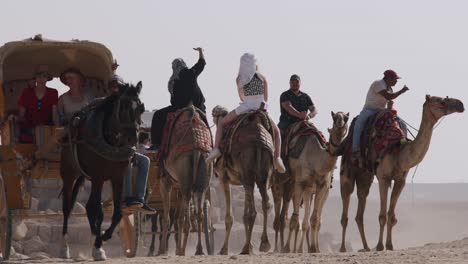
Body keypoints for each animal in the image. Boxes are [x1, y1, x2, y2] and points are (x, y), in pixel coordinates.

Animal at [60, 82, 144, 260]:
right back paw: (65, 247)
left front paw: (103, 237)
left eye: (141, 107)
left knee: (89, 206)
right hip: (69, 174)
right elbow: (98, 211)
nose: (133, 139)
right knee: (67, 208)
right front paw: (99, 244)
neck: (111, 141)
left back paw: (95, 237)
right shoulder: (98, 176)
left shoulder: (118, 177)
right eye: (123, 107)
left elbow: (118, 212)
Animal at [155, 106, 212, 256]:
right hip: (203, 170)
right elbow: (177, 218)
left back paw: (182, 250)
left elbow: (167, 218)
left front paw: (162, 250)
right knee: (198, 213)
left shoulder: (166, 183)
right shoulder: (178, 186)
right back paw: (198, 249)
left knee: (185, 218)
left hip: (183, 175)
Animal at [215, 109, 276, 254]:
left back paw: (247, 248)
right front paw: (250, 246)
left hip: (247, 171)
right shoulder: (243, 180)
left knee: (253, 212)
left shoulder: (224, 178)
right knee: (265, 203)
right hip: (262, 174)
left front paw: (224, 249)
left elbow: (230, 217)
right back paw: (263, 244)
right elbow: (244, 214)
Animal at [280, 112, 350, 254]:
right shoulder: (300, 184)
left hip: (310, 190)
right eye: (334, 117)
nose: (340, 122)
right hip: (289, 183)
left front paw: (314, 248)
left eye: (346, 118)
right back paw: (285, 247)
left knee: (308, 219)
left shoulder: (322, 187)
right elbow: (295, 219)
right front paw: (287, 248)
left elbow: (315, 219)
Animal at [340, 95, 464, 252]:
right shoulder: (383, 178)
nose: (460, 104)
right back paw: (343, 248)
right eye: (441, 101)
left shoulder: (401, 180)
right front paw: (380, 246)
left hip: (365, 176)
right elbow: (382, 215)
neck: (399, 152)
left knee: (360, 208)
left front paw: (389, 245)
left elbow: (391, 215)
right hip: (347, 171)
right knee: (346, 206)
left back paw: (366, 247)